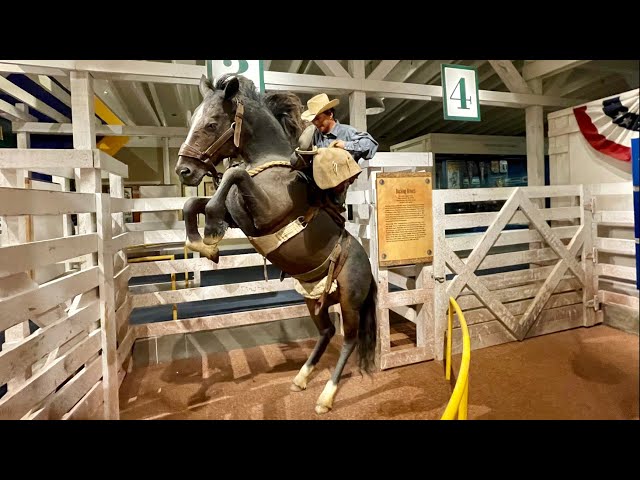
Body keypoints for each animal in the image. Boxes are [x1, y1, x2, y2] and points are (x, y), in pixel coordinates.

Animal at [172, 73, 378, 414]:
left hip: (350, 302)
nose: (184, 170)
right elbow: (193, 203)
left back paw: (326, 397)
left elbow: (233, 175)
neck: (268, 162)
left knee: (348, 339)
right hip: (315, 301)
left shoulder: (266, 213)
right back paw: (301, 378)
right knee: (326, 332)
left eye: (212, 123)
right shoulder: (238, 218)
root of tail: (370, 271)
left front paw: (211, 231)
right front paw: (204, 245)